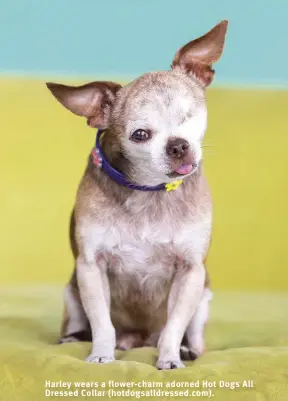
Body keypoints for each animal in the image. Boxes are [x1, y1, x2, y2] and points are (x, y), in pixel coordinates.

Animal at [46, 18, 227, 368]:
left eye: (189, 116)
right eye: (140, 135)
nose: (178, 145)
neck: (149, 190)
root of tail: (139, 339)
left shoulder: (190, 272)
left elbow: (174, 326)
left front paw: (170, 359)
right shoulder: (91, 267)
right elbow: (102, 322)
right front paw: (101, 355)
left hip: (204, 294)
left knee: (192, 334)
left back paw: (189, 350)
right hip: (71, 291)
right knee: (81, 322)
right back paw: (74, 340)